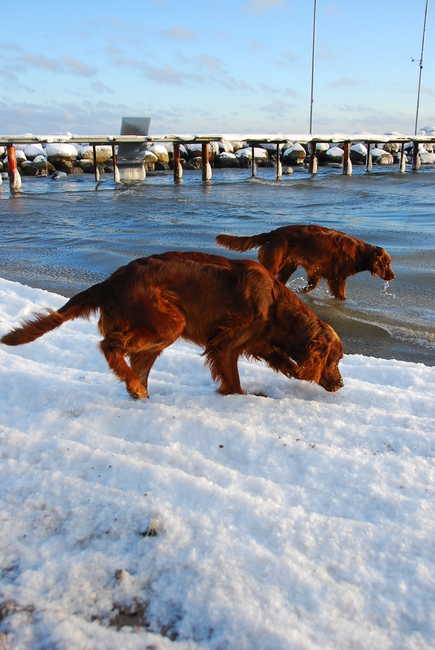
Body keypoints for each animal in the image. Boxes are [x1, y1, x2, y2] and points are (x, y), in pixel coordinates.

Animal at [1, 251, 346, 398]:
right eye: (336, 359)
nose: (341, 384)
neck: (276, 307)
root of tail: (111, 282)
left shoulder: (258, 342)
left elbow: (282, 360)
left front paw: (296, 371)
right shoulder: (224, 344)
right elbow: (234, 381)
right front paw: (238, 397)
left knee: (136, 364)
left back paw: (139, 391)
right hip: (169, 322)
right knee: (110, 345)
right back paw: (135, 385)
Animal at [216, 223, 396, 298]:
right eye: (387, 263)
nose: (393, 276)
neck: (359, 252)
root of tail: (271, 234)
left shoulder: (315, 269)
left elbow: (312, 284)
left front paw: (300, 291)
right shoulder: (338, 277)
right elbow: (341, 294)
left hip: (288, 266)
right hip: (273, 263)